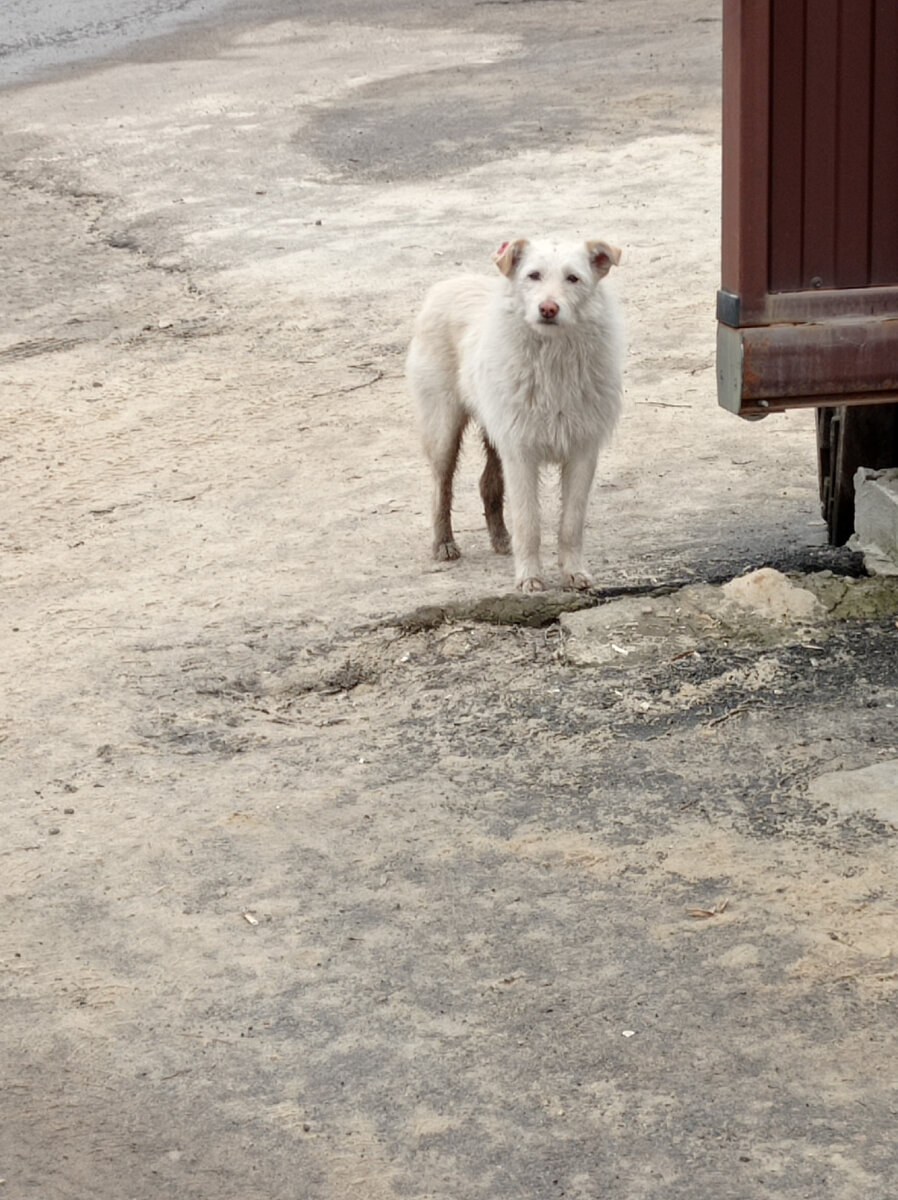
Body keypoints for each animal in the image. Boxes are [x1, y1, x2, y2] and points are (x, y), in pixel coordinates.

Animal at [408, 234, 624, 590]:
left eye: (573, 278)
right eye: (533, 275)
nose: (548, 308)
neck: (552, 357)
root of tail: (445, 285)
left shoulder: (582, 452)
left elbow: (571, 524)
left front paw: (573, 572)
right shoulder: (521, 453)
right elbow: (528, 523)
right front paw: (529, 578)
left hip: (495, 433)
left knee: (487, 484)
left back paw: (500, 539)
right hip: (443, 431)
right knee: (441, 487)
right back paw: (444, 543)